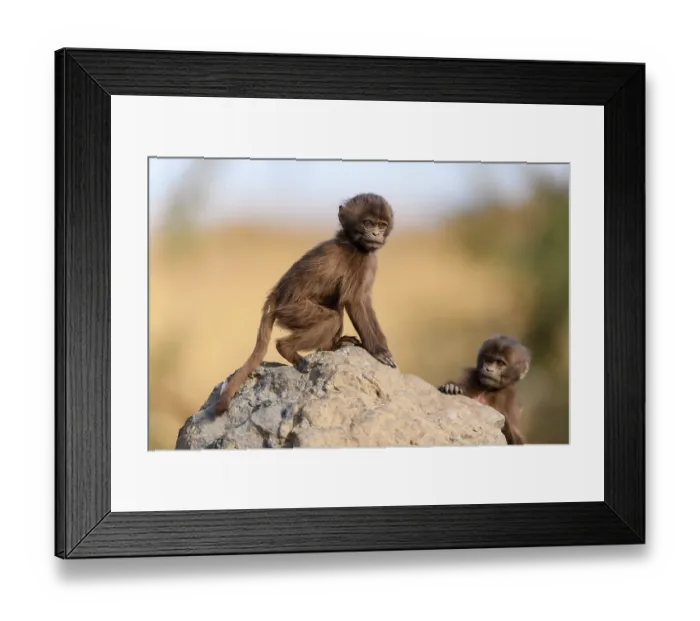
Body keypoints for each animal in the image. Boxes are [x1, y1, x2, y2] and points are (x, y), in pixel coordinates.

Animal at [212, 192, 397, 416]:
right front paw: (378, 351)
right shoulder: (356, 261)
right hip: (293, 311)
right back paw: (288, 349)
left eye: (382, 225)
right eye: (368, 223)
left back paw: (331, 347)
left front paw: (384, 348)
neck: (352, 242)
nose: (375, 234)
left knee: (335, 308)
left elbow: (363, 302)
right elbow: (354, 301)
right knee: (332, 318)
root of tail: (276, 294)